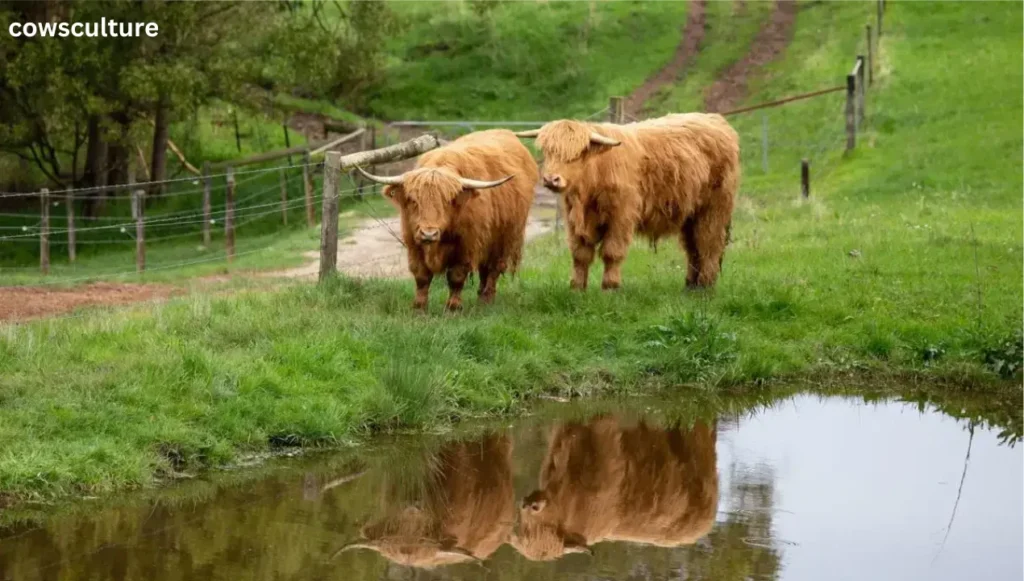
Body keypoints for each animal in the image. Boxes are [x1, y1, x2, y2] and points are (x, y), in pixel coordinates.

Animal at [358, 129, 540, 311]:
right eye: (414, 201)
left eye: (446, 201)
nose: (429, 234)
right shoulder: (413, 242)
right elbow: (421, 276)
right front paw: (419, 308)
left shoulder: (467, 245)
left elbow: (456, 277)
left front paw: (453, 308)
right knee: (484, 270)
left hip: (505, 238)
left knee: (494, 269)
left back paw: (486, 301)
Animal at [516, 114, 741, 291]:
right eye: (548, 152)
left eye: (577, 154)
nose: (551, 179)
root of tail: (717, 121)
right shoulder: (575, 222)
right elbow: (580, 254)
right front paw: (577, 287)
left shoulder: (621, 216)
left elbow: (612, 251)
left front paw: (610, 286)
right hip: (690, 215)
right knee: (693, 247)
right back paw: (690, 284)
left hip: (713, 209)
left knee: (709, 243)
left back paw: (705, 285)